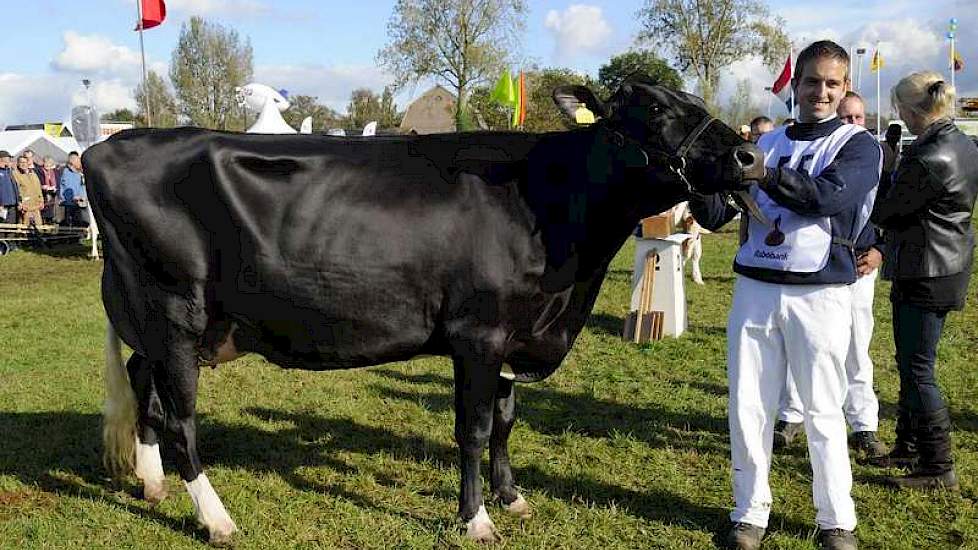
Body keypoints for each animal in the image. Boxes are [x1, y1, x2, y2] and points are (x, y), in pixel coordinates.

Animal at [84, 78, 760, 548]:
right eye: (655, 111)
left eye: (692, 99)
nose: (749, 158)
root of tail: (111, 144)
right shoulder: (478, 334)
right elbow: (475, 429)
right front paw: (477, 519)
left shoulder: (516, 333)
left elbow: (507, 421)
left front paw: (512, 498)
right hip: (173, 312)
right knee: (181, 420)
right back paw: (216, 518)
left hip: (161, 325)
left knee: (145, 388)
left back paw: (151, 482)